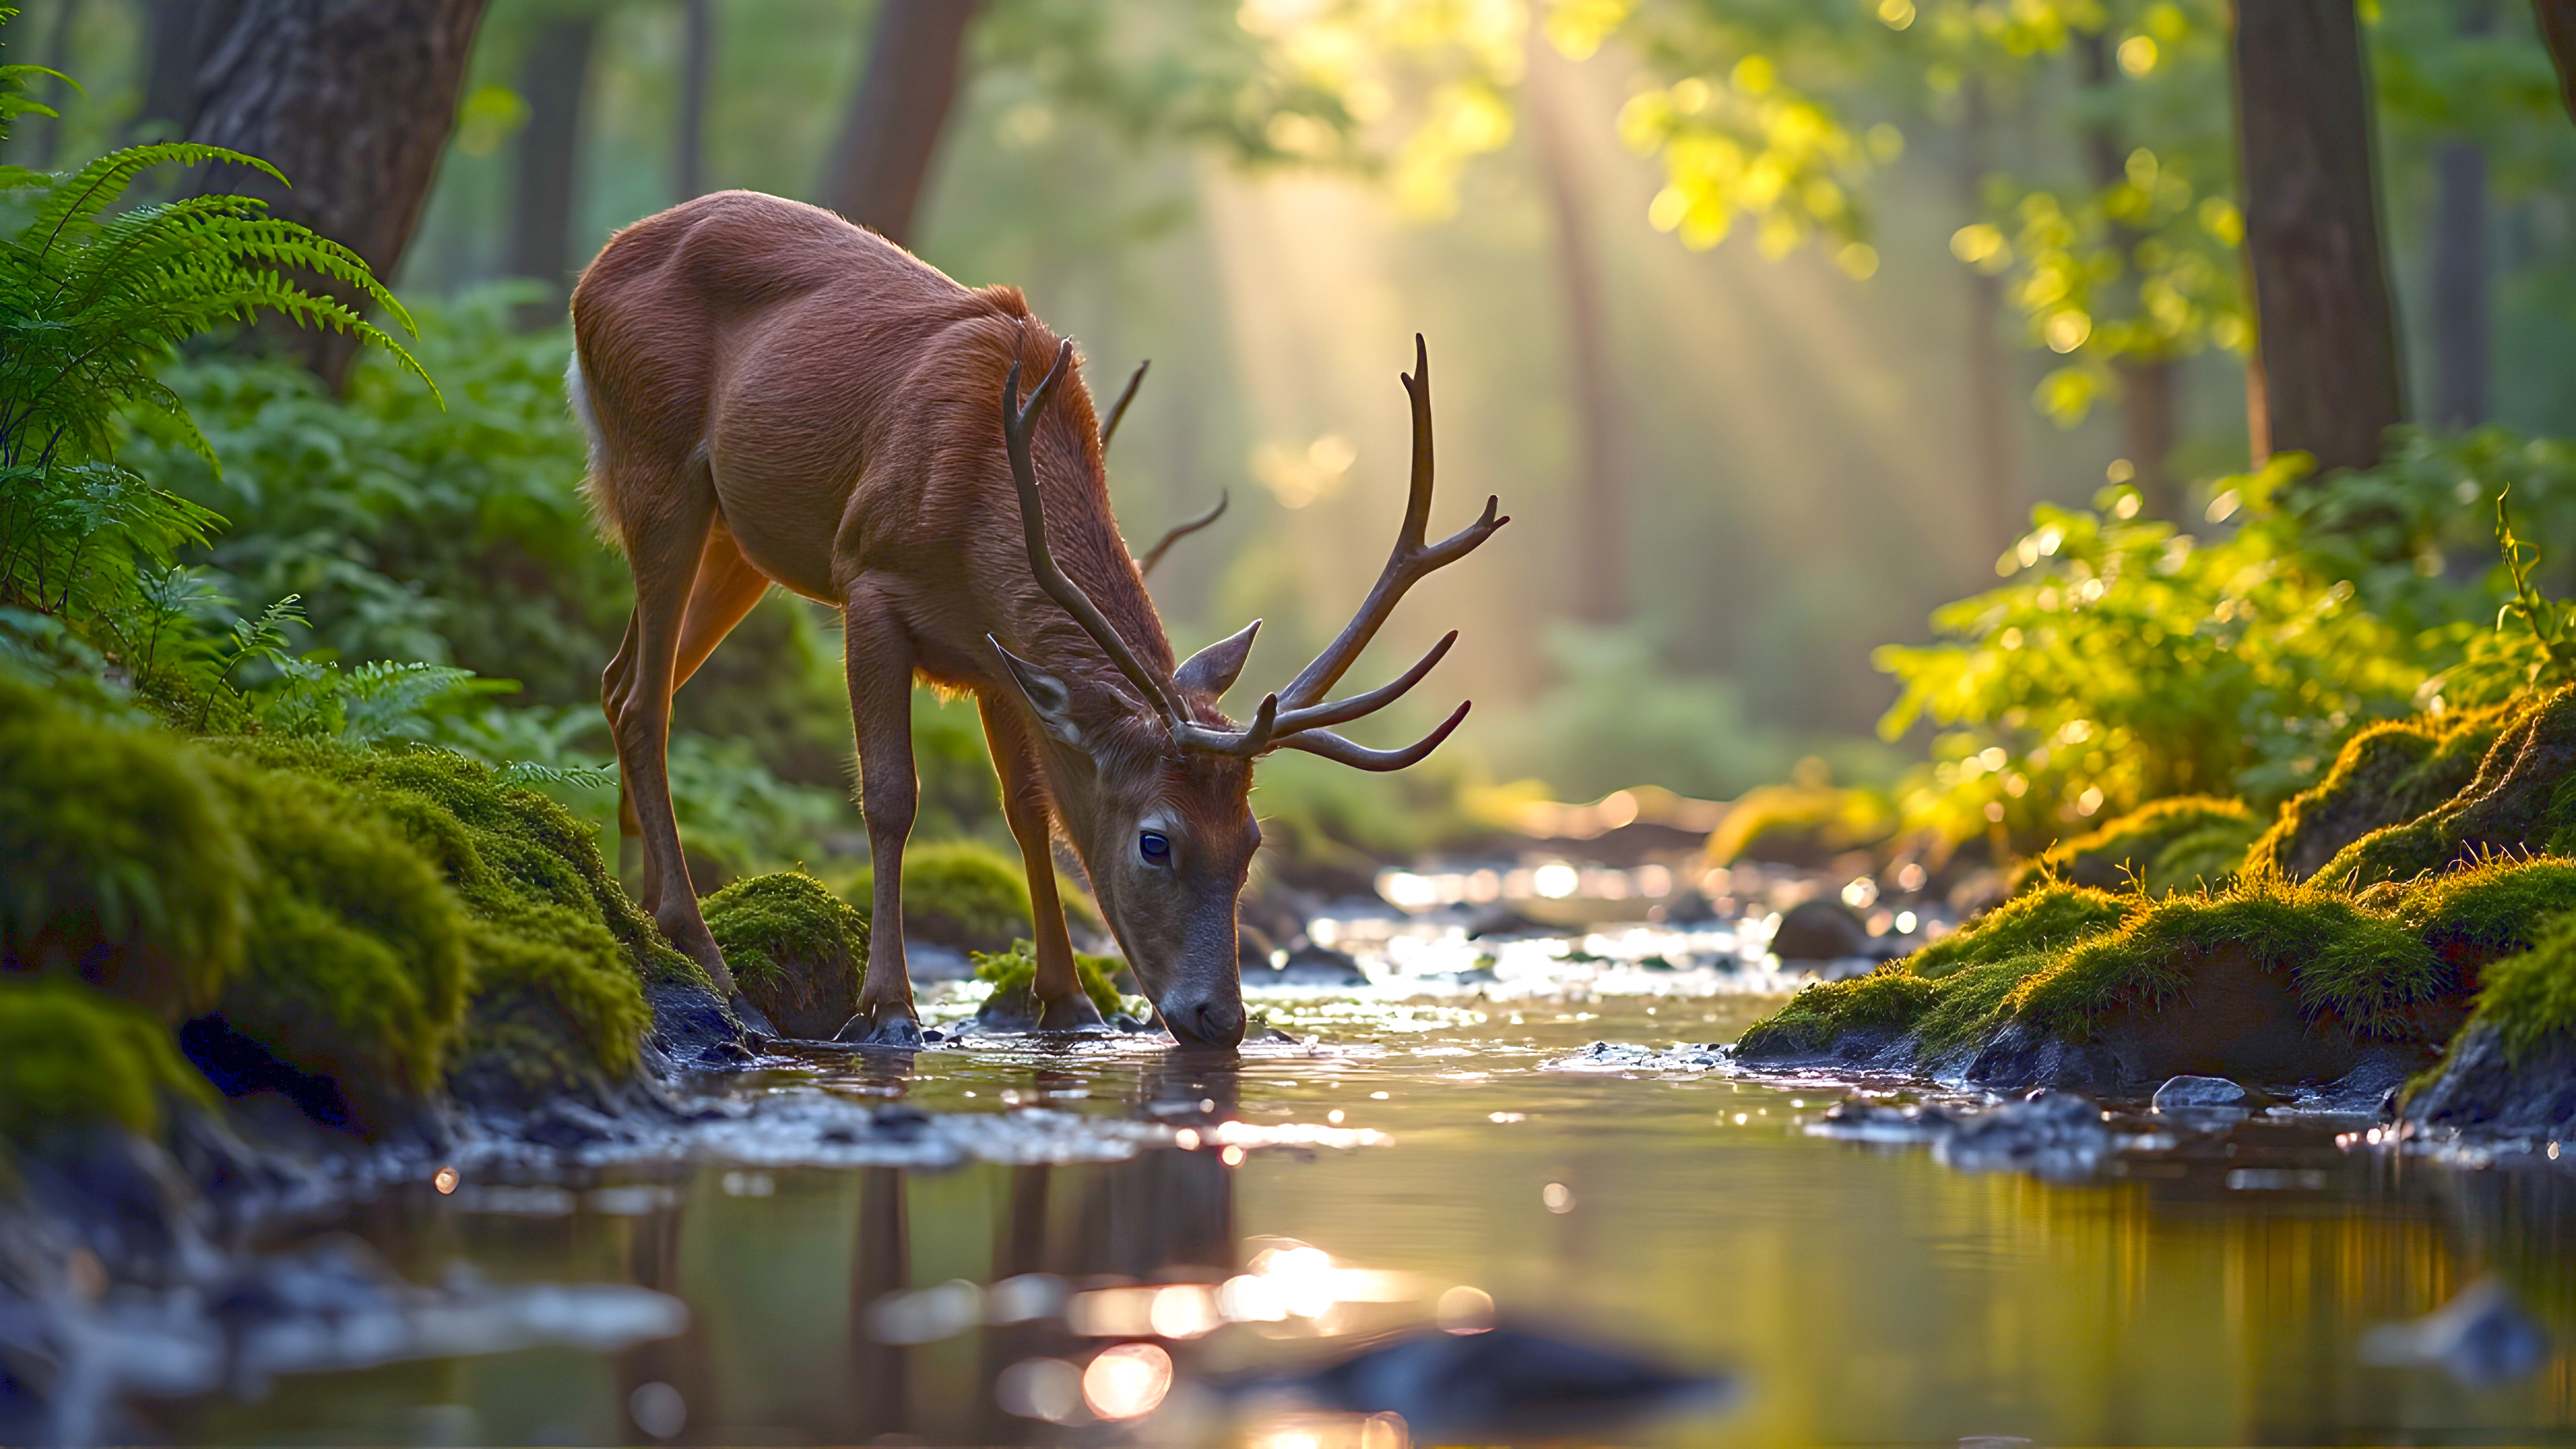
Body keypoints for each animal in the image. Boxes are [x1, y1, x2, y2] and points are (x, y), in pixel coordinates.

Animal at [569, 191, 1504, 1048]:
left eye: (1251, 842)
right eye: (1156, 842)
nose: (1221, 1018)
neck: (982, 507)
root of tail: (593, 272)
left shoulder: (996, 658)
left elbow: (1030, 811)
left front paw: (1068, 1001)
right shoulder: (868, 577)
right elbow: (892, 797)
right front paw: (889, 1008)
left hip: (740, 542)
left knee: (619, 682)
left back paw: (645, 907)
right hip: (657, 469)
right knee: (646, 700)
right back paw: (701, 949)